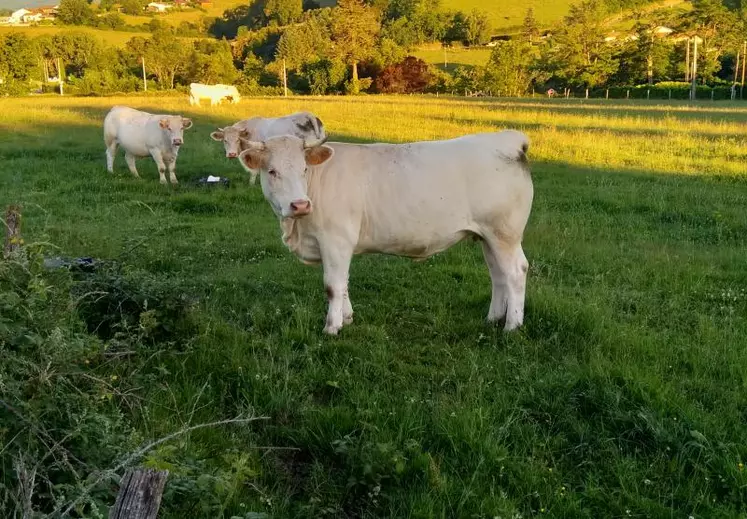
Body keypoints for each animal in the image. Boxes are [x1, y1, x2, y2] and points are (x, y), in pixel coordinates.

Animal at [237, 130, 536, 338]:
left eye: (304, 168)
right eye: (272, 171)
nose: (300, 204)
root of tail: (506, 138)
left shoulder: (336, 240)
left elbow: (333, 286)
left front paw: (332, 328)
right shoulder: (338, 246)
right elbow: (344, 284)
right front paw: (347, 318)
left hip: (504, 234)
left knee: (515, 272)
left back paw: (512, 326)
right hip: (489, 237)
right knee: (497, 275)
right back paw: (493, 319)